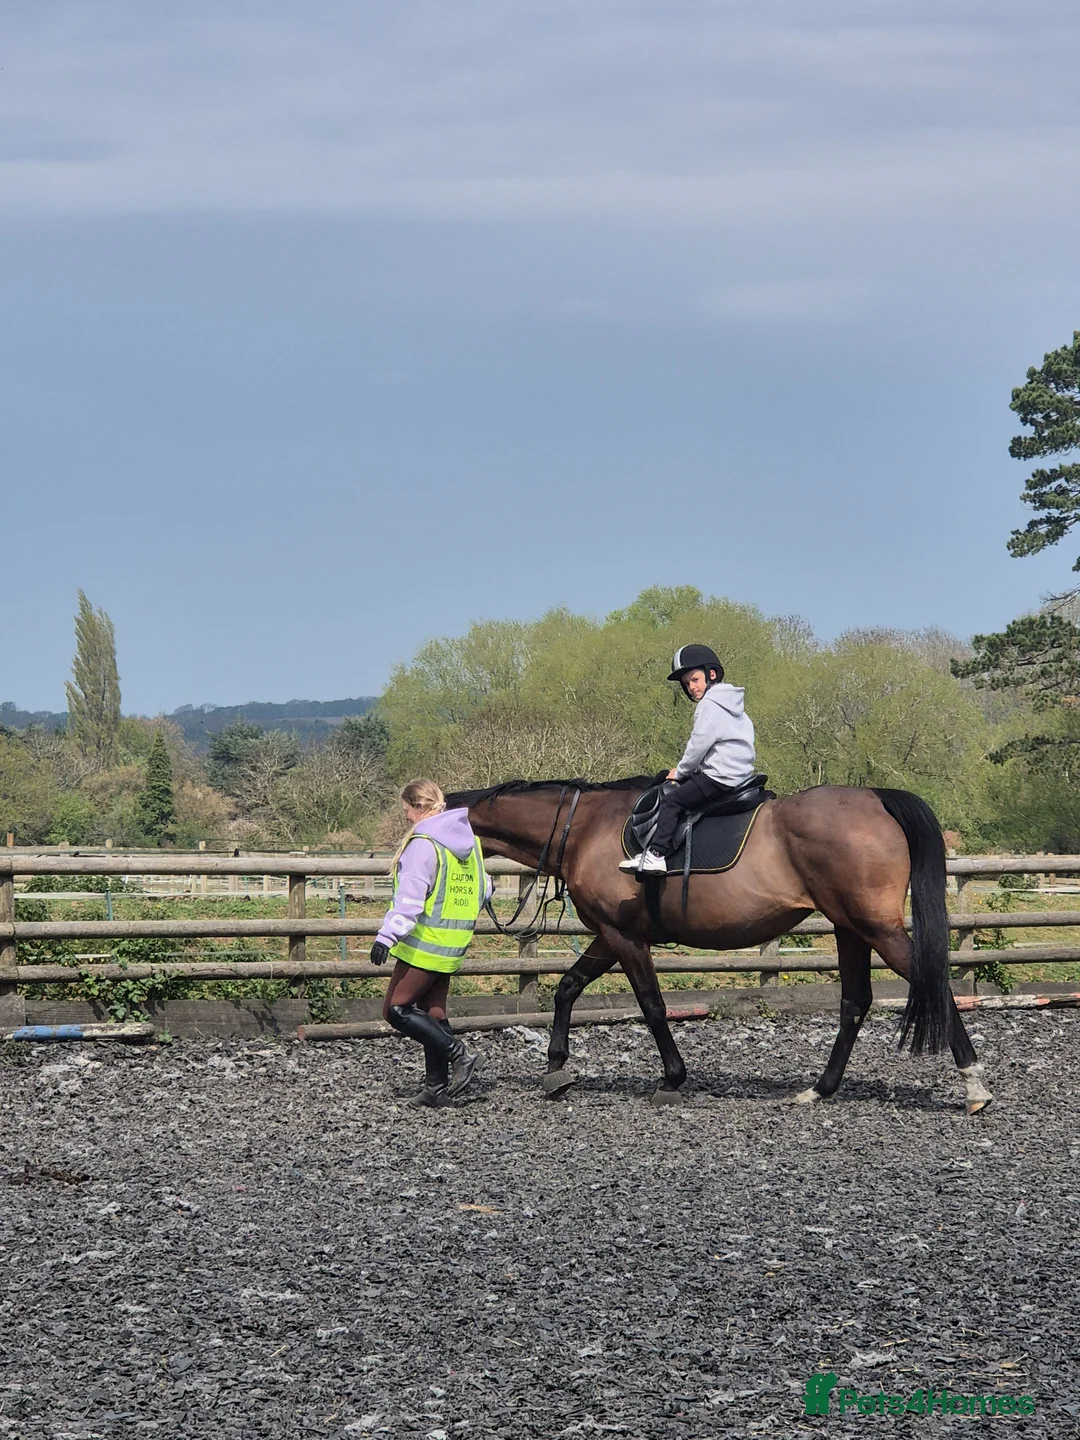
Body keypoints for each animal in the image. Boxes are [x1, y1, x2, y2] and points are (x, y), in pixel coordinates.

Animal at [445, 778, 993, 1115]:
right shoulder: (608, 934)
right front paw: (556, 1068)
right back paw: (819, 1089)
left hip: (873, 928)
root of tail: (875, 800)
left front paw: (672, 1078)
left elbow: (652, 1006)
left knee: (931, 985)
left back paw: (975, 1086)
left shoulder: (625, 937)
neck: (584, 830)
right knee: (855, 1003)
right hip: (849, 929)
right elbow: (567, 989)